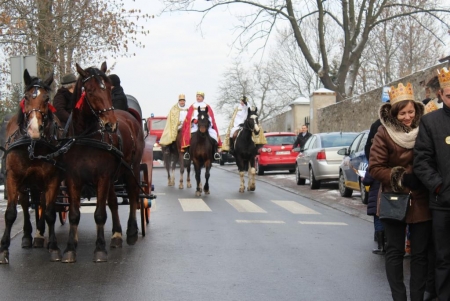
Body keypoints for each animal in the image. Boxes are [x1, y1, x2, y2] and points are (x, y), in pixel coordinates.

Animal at [0, 69, 63, 262]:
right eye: (26, 97)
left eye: (47, 99)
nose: (34, 129)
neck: (33, 144)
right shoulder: (13, 178)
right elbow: (11, 213)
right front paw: (4, 249)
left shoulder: (53, 179)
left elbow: (49, 212)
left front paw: (53, 246)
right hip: (24, 184)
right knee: (26, 205)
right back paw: (28, 236)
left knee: (41, 202)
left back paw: (39, 234)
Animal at [61, 62, 144, 262]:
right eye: (90, 91)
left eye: (107, 88)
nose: (110, 124)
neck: (84, 138)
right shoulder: (72, 178)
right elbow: (74, 214)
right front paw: (70, 248)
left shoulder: (102, 177)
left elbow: (99, 213)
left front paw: (99, 248)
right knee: (113, 202)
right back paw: (116, 235)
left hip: (132, 168)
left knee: (133, 196)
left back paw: (131, 232)